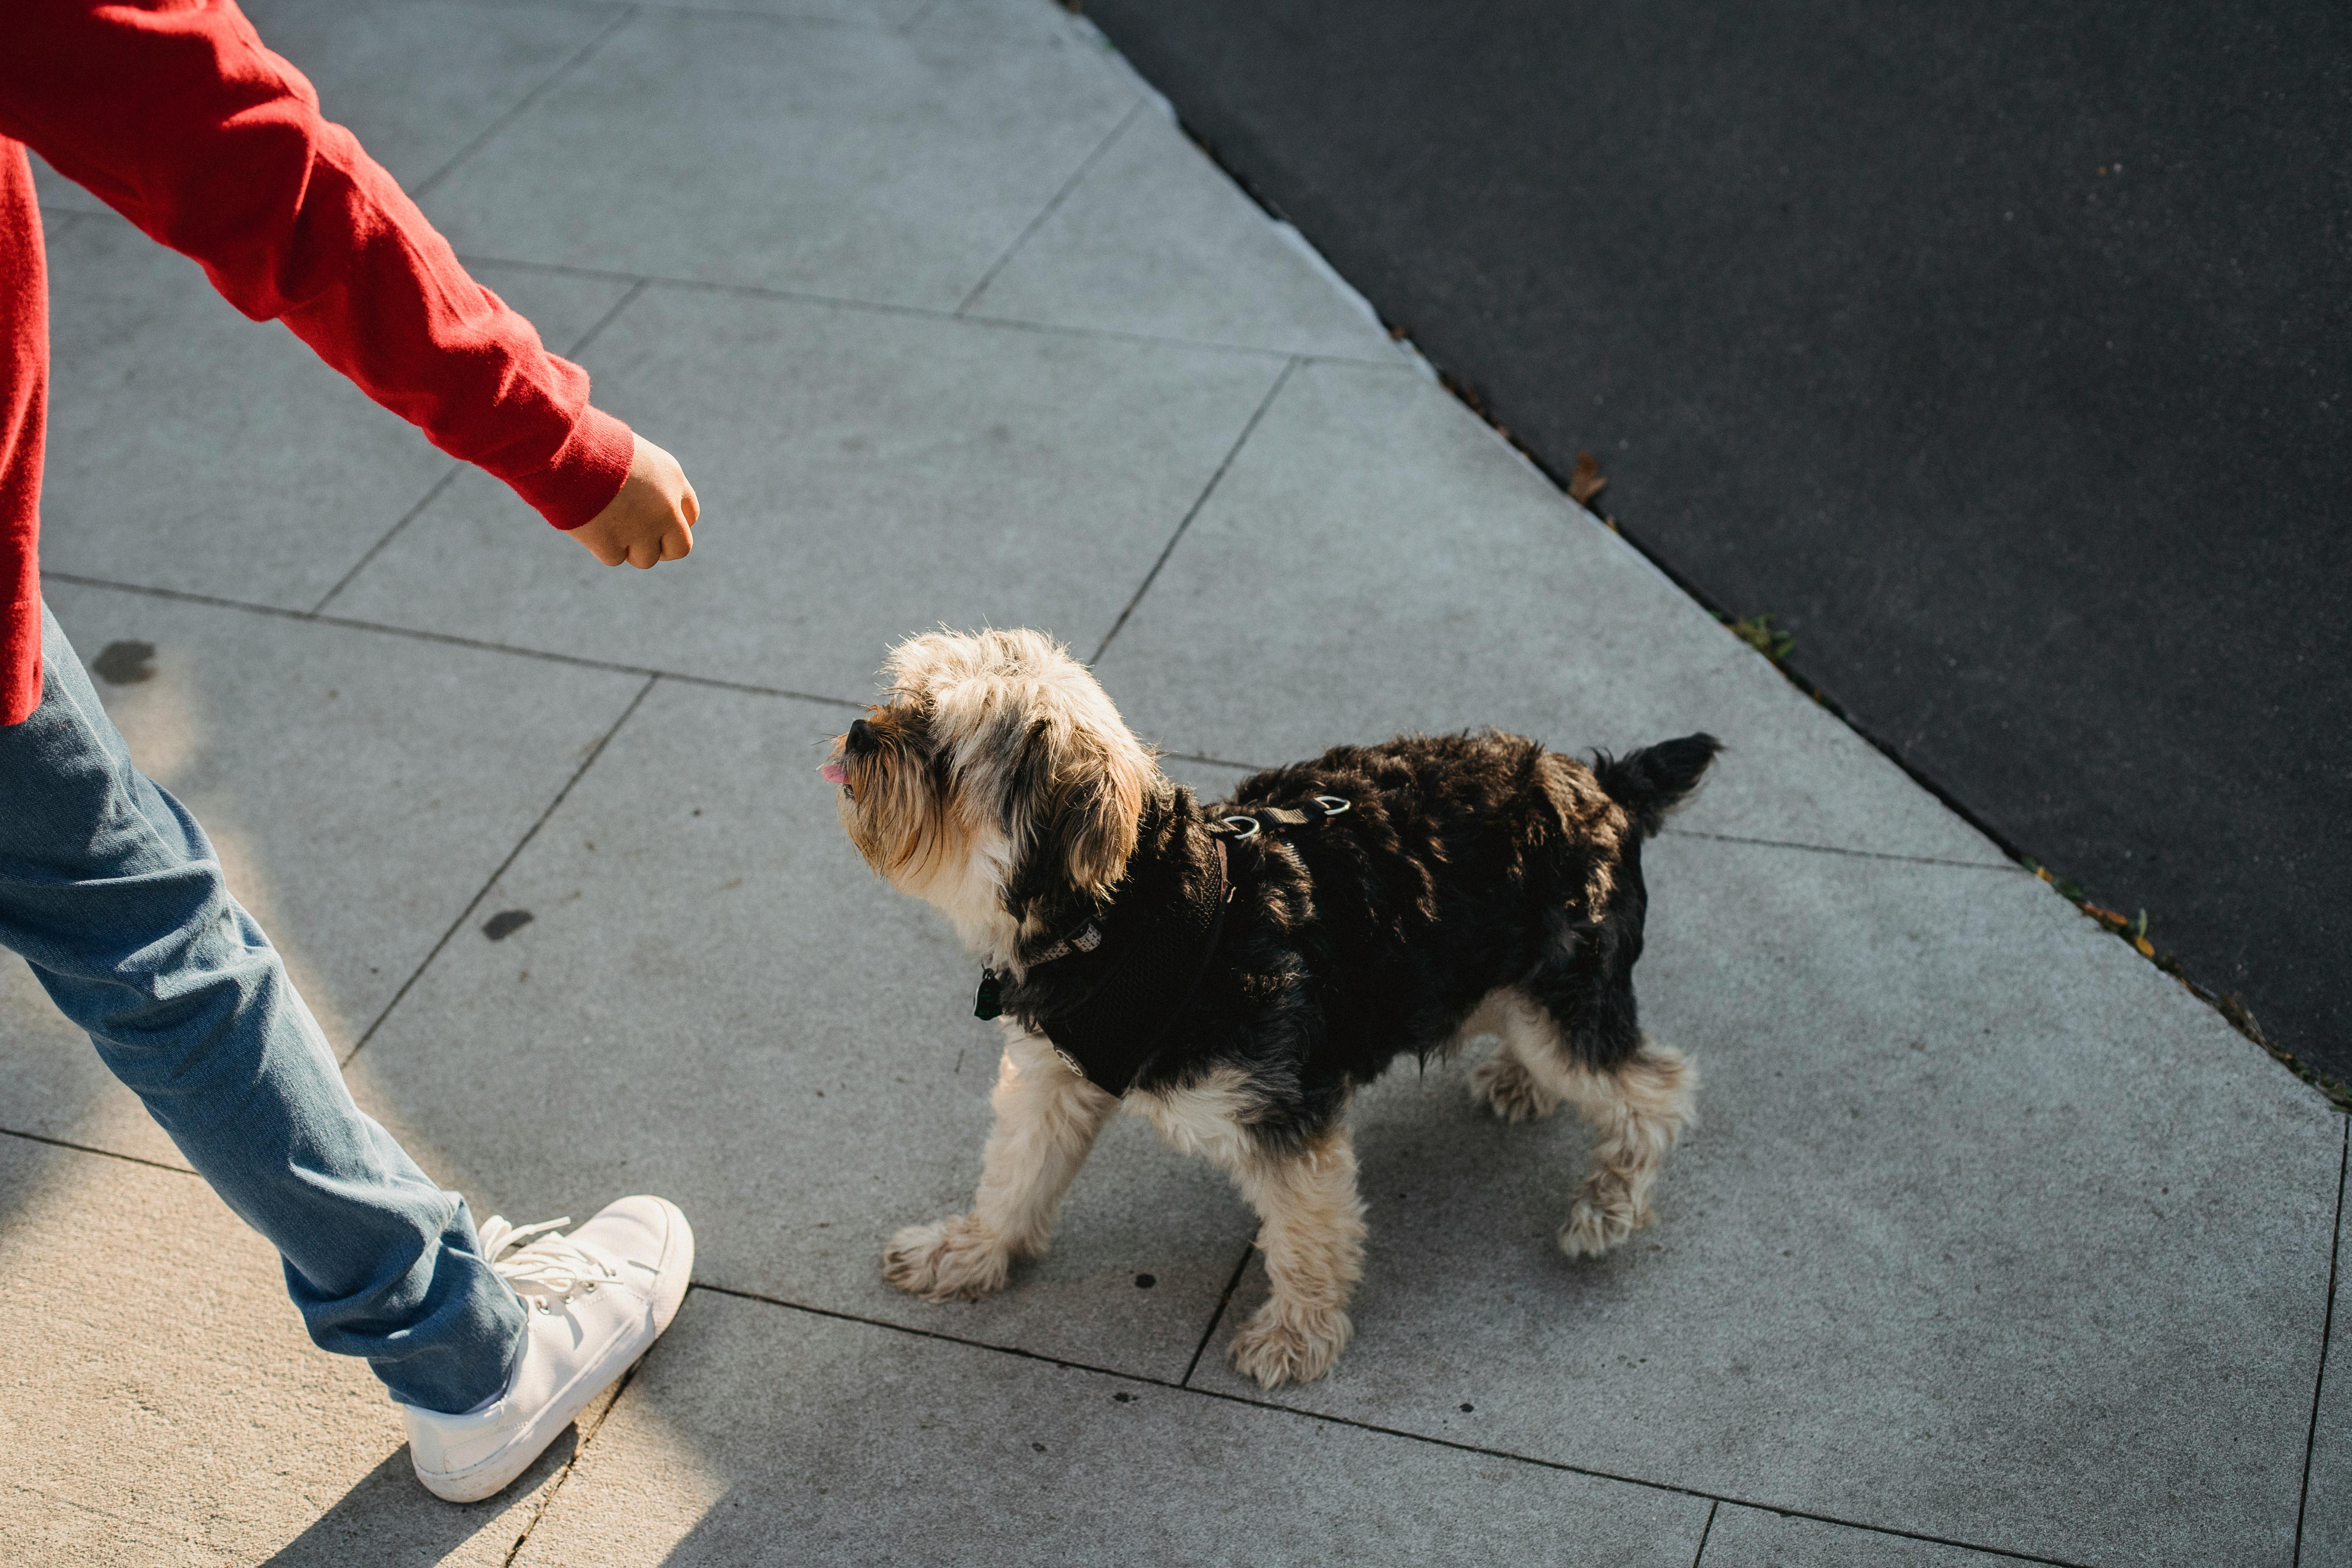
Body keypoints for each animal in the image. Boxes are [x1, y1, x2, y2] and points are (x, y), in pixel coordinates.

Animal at [823, 625, 1712, 1382]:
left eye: (939, 748)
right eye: (905, 697)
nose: (862, 730)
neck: (1129, 912)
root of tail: (1605, 786)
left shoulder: (1286, 1119)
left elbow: (1307, 1237)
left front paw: (1297, 1334)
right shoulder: (1053, 1078)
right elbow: (1016, 1174)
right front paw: (970, 1253)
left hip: (1563, 997)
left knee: (1654, 1088)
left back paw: (1608, 1202)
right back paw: (1518, 1080)